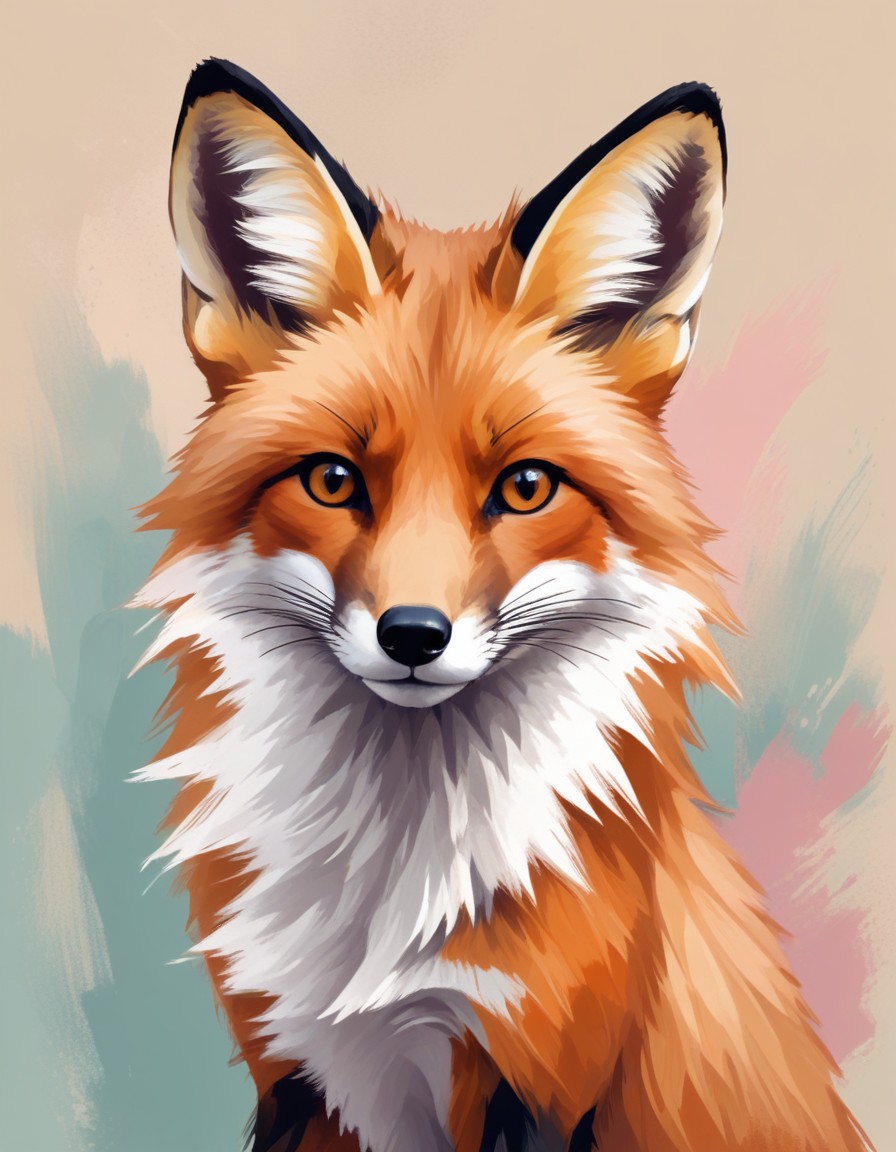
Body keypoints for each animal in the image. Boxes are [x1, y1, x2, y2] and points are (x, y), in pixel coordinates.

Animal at [133, 58, 871, 1152]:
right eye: (332, 480)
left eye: (524, 488)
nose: (412, 635)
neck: (390, 895)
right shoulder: (290, 1070)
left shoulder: (537, 1078)